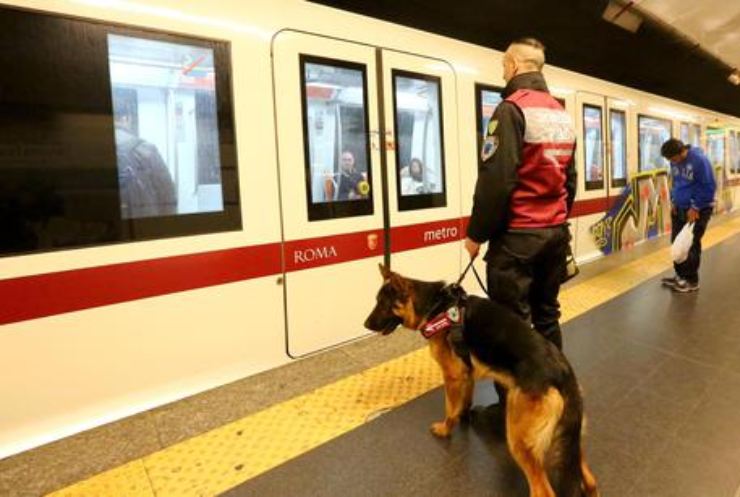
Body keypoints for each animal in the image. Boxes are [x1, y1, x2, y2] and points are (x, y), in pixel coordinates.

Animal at [366, 266, 600, 496]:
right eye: (376, 301)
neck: (436, 306)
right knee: (589, 480)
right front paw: (465, 416)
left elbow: (449, 409)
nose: (365, 324)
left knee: (543, 490)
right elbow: (463, 402)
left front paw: (445, 429)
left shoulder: (452, 376)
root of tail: (562, 372)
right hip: (567, 441)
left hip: (520, 441)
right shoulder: (466, 374)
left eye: (382, 304)